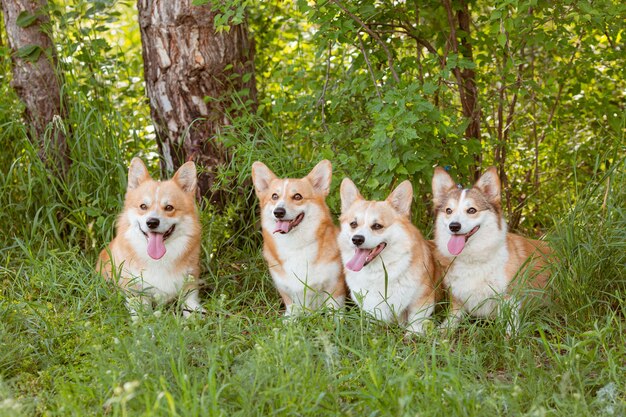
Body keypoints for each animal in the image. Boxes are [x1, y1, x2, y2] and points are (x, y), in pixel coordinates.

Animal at [95, 158, 202, 316]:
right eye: (143, 206)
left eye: (169, 207)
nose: (152, 222)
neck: (158, 260)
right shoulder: (135, 291)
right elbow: (142, 312)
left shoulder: (190, 284)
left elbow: (191, 306)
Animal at [250, 160, 346, 316]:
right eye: (274, 196)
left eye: (297, 196)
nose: (279, 212)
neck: (295, 245)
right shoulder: (287, 292)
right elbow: (292, 310)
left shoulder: (335, 287)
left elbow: (334, 312)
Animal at [338, 177, 436, 334]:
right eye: (353, 224)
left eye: (377, 226)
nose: (357, 239)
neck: (377, 272)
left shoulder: (422, 299)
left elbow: (416, 320)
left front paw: (413, 335)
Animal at [432, 166, 548, 328]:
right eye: (449, 210)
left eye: (472, 210)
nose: (454, 226)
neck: (473, 259)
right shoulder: (457, 305)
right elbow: (447, 325)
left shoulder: (509, 300)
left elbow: (510, 326)